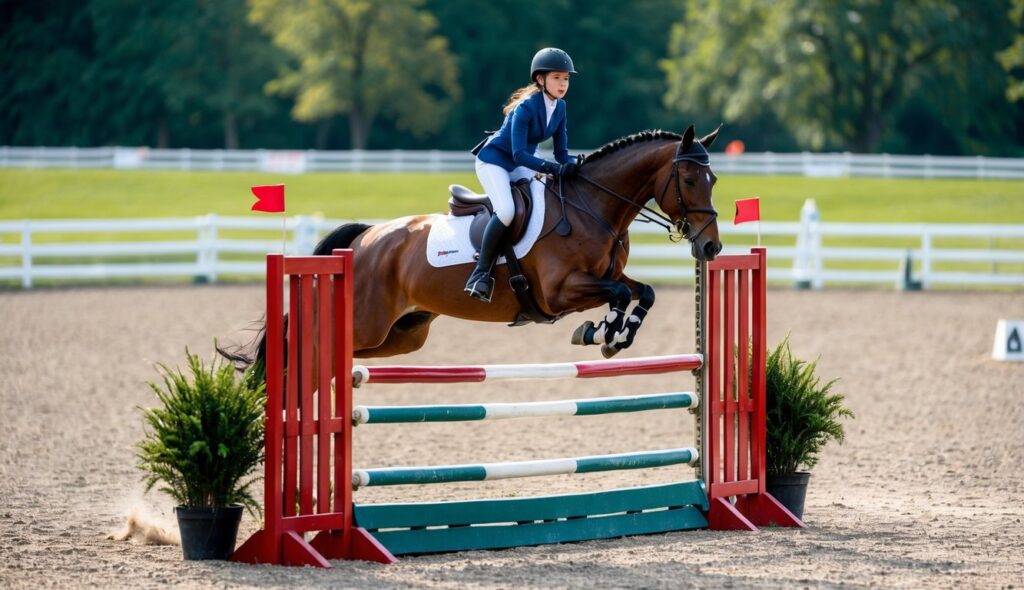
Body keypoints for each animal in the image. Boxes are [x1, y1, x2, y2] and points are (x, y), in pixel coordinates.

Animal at [224, 121, 720, 366]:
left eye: (713, 179)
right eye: (689, 179)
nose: (711, 248)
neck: (591, 205)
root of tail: (366, 239)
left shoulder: (607, 276)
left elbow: (643, 292)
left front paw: (618, 336)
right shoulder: (560, 291)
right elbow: (616, 295)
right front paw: (599, 332)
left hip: (400, 335)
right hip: (367, 323)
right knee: (303, 344)